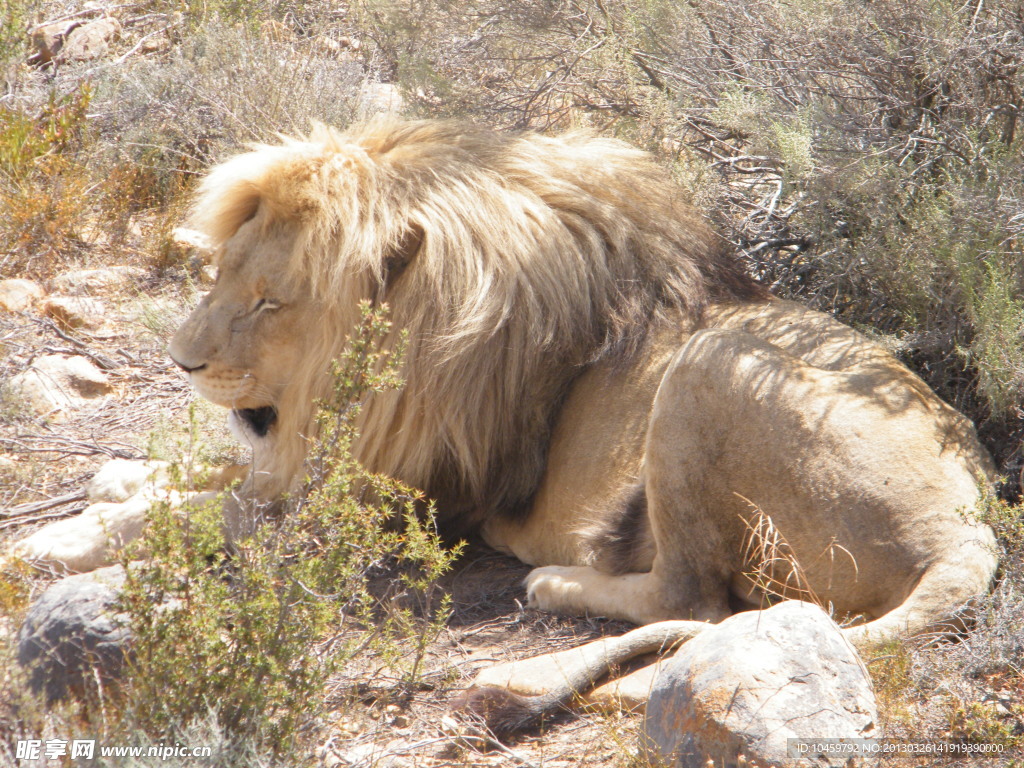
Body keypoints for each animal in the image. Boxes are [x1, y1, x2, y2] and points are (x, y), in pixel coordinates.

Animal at [12, 118, 995, 733]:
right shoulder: (321, 459)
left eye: (269, 302)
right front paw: (114, 482)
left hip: (708, 364)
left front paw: (55, 542)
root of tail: (969, 525)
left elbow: (201, 509)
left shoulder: (387, 503)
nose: (180, 361)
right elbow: (198, 479)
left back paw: (556, 582)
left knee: (691, 599)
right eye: (217, 275)